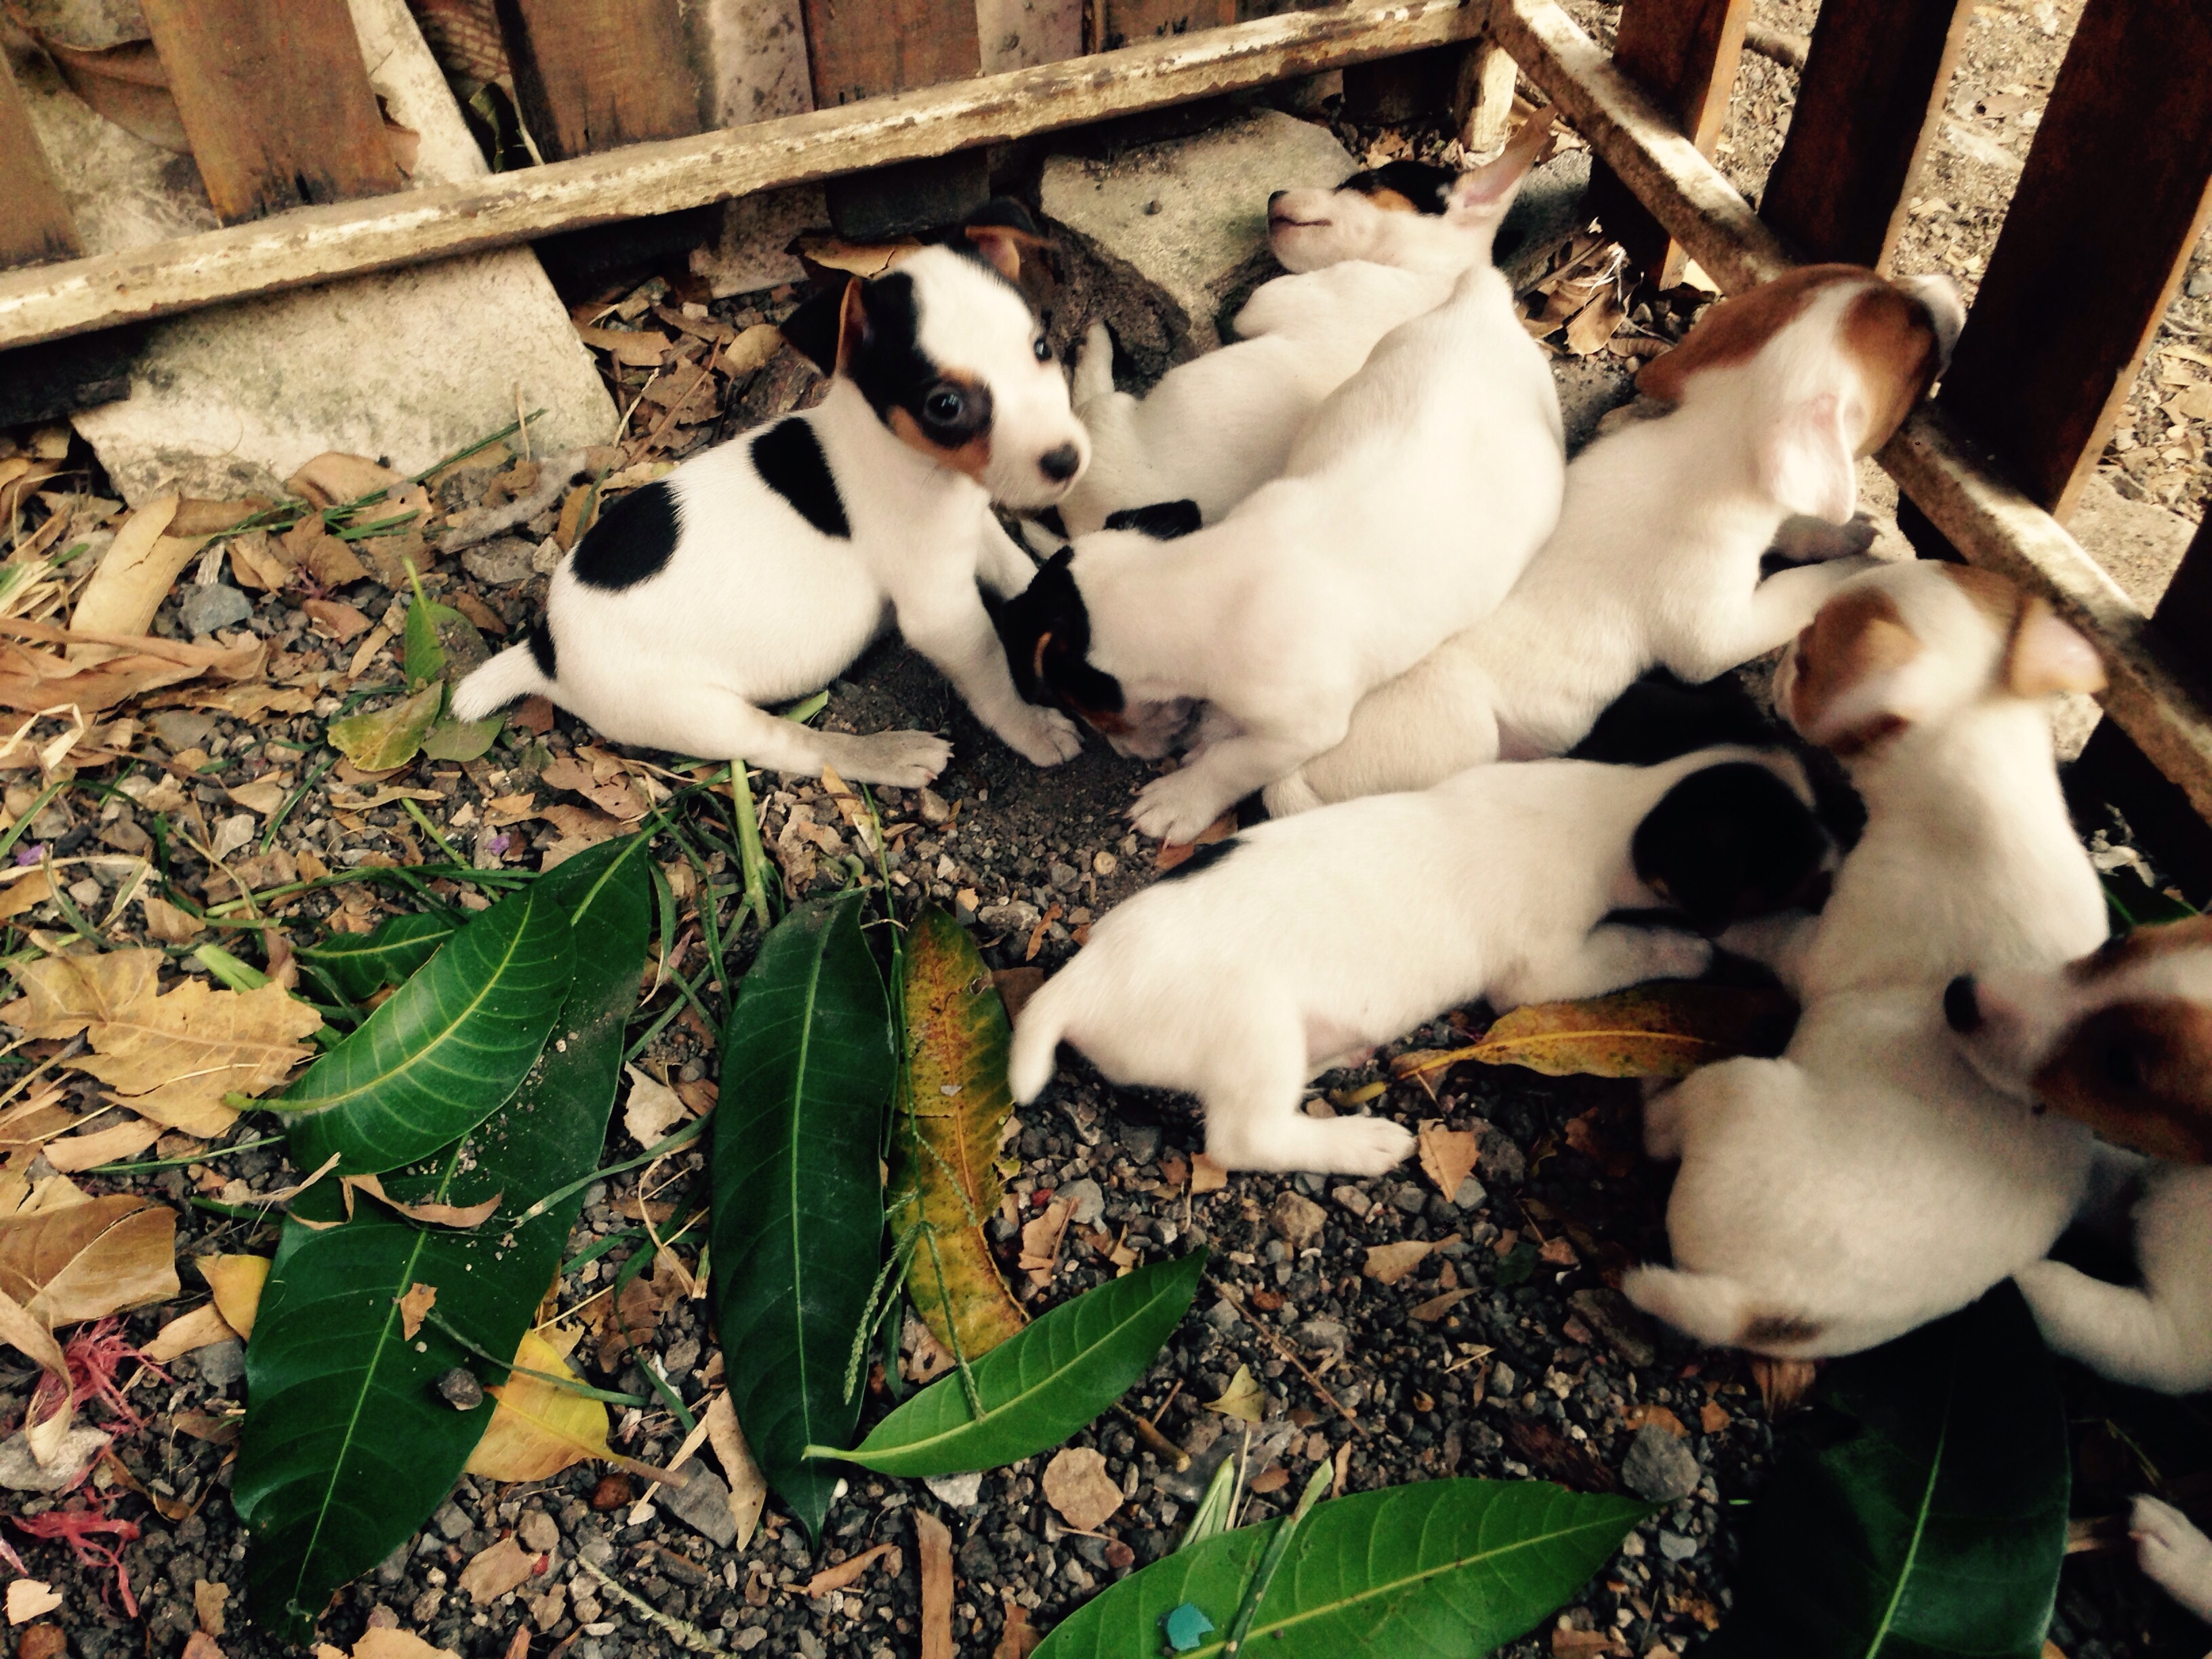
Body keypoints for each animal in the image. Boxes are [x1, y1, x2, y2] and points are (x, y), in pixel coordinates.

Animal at [452, 204, 1087, 787]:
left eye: (1040, 347)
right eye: (945, 406)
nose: (1067, 461)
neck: (912, 459)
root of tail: (545, 651)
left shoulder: (975, 528)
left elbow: (1021, 571)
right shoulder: (942, 611)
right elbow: (991, 670)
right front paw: (1031, 726)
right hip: (702, 713)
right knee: (792, 748)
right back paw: (889, 754)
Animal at [1007, 745, 1829, 1176]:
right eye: (1788, 863)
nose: (1836, 872)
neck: (1619, 807)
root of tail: (1081, 980)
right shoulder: (1545, 972)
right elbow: (1634, 946)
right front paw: (1689, 948)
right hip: (1254, 1027)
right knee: (1246, 1138)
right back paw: (1358, 1142)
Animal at [1056, 160, 1507, 537]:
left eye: (1363, 181)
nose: (1274, 194)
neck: (1438, 273)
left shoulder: (1271, 300)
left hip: (1103, 416)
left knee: (1087, 390)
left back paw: (1093, 339)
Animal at [1260, 265, 1964, 814]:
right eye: (1918, 342)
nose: (1947, 287)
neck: (1707, 443)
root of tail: (1284, 773)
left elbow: (1795, 526)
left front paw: (1841, 530)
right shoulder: (1714, 637)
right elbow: (1795, 595)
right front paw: (1867, 568)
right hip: (1457, 730)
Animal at [1626, 563, 2114, 1358]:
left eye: (1811, 655)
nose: (1785, 653)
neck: (1983, 768)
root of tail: (1765, 1306)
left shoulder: (1823, 950)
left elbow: (1774, 933)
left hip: (1740, 1087)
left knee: (1668, 1131)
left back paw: (1653, 1099)